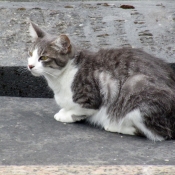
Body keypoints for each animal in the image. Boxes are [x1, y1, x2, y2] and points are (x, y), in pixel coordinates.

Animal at [27, 21, 175, 142]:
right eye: (30, 53)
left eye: (43, 57)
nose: (30, 65)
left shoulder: (91, 97)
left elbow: (79, 108)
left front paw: (65, 115)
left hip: (136, 88)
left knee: (157, 133)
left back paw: (114, 126)